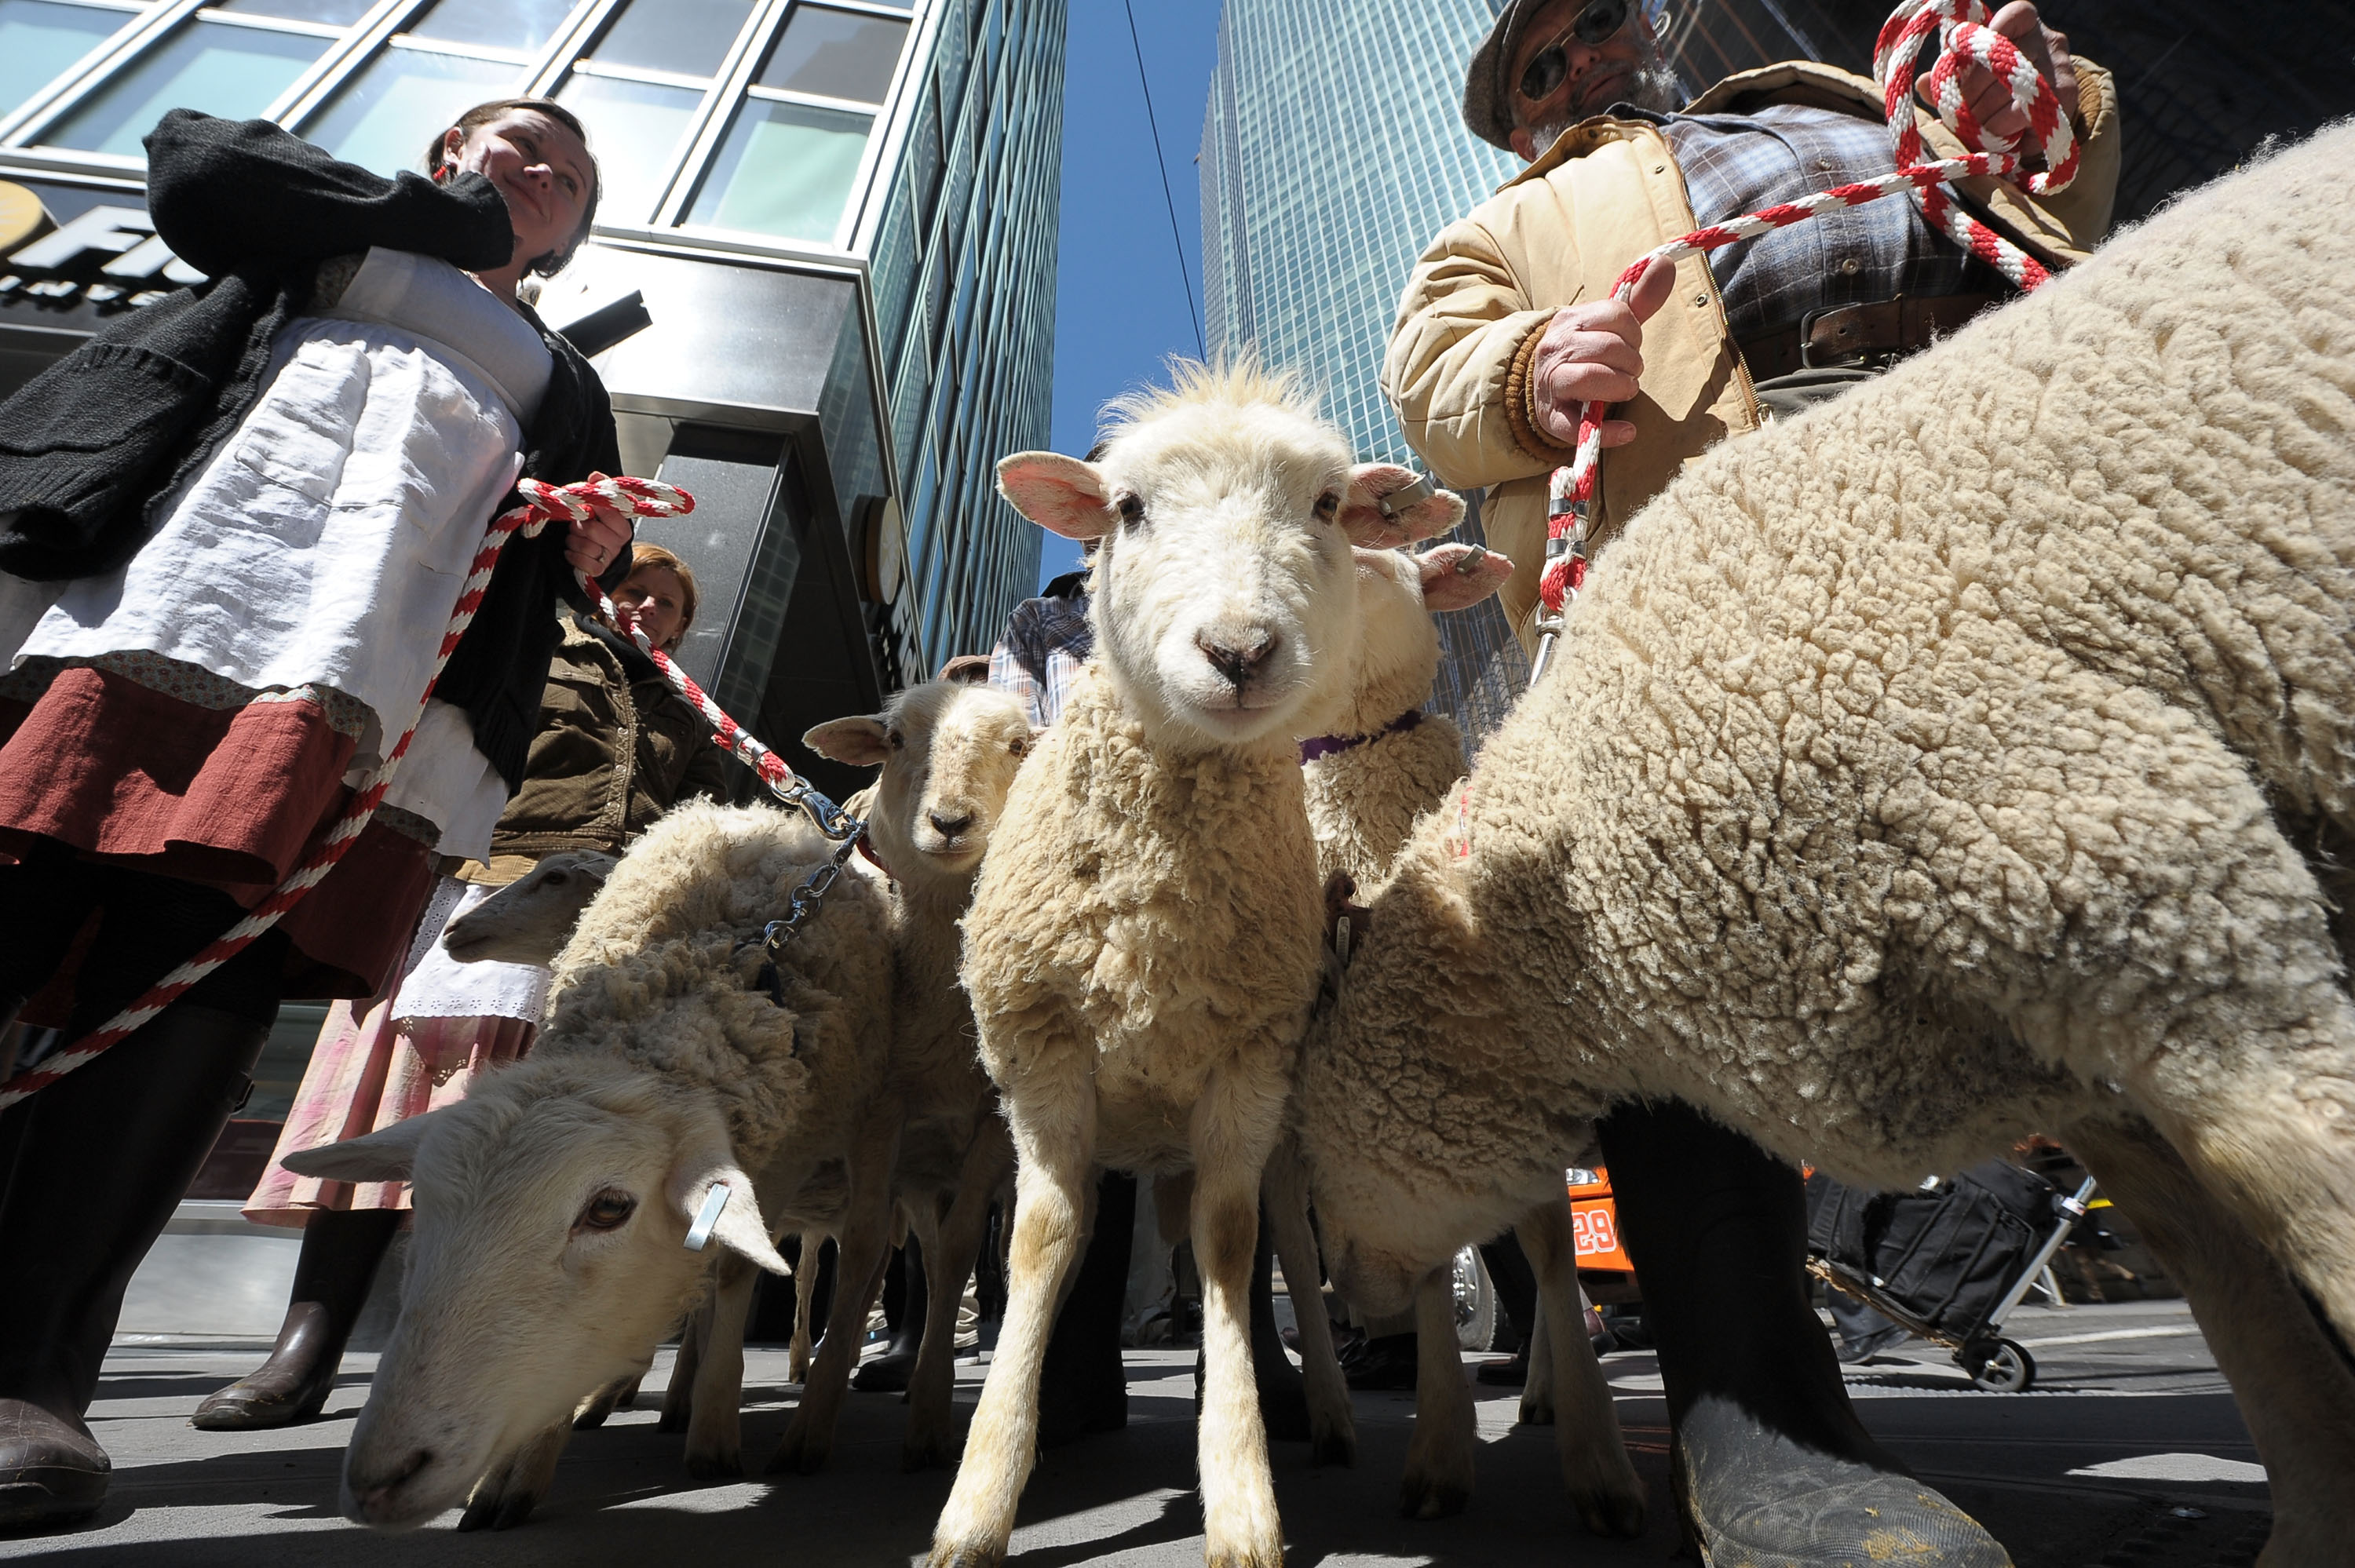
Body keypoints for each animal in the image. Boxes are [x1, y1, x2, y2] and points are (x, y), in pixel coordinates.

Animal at [276, 805, 895, 1526]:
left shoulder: (787, 1162)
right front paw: (522, 1469)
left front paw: (715, 1433)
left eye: (608, 1209)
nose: (380, 1479)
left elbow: (734, 1274)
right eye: (420, 1203)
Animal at [928, 358, 1460, 1563]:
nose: (1240, 652)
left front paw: (1244, 1493)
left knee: (1288, 1252)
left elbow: (1230, 1243)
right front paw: (979, 1497)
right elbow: (1043, 1245)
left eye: (1326, 505)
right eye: (1127, 509)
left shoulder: (1247, 1066)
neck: (1156, 913)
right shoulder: (1041, 1055)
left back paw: (1319, 1407)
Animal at [1291, 131, 2355, 1554]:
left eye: (1326, 1134)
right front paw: (2317, 1519)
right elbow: (2237, 1290)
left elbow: (2309, 1215)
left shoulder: (2136, 863)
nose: (1355, 1307)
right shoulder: (2073, 1012)